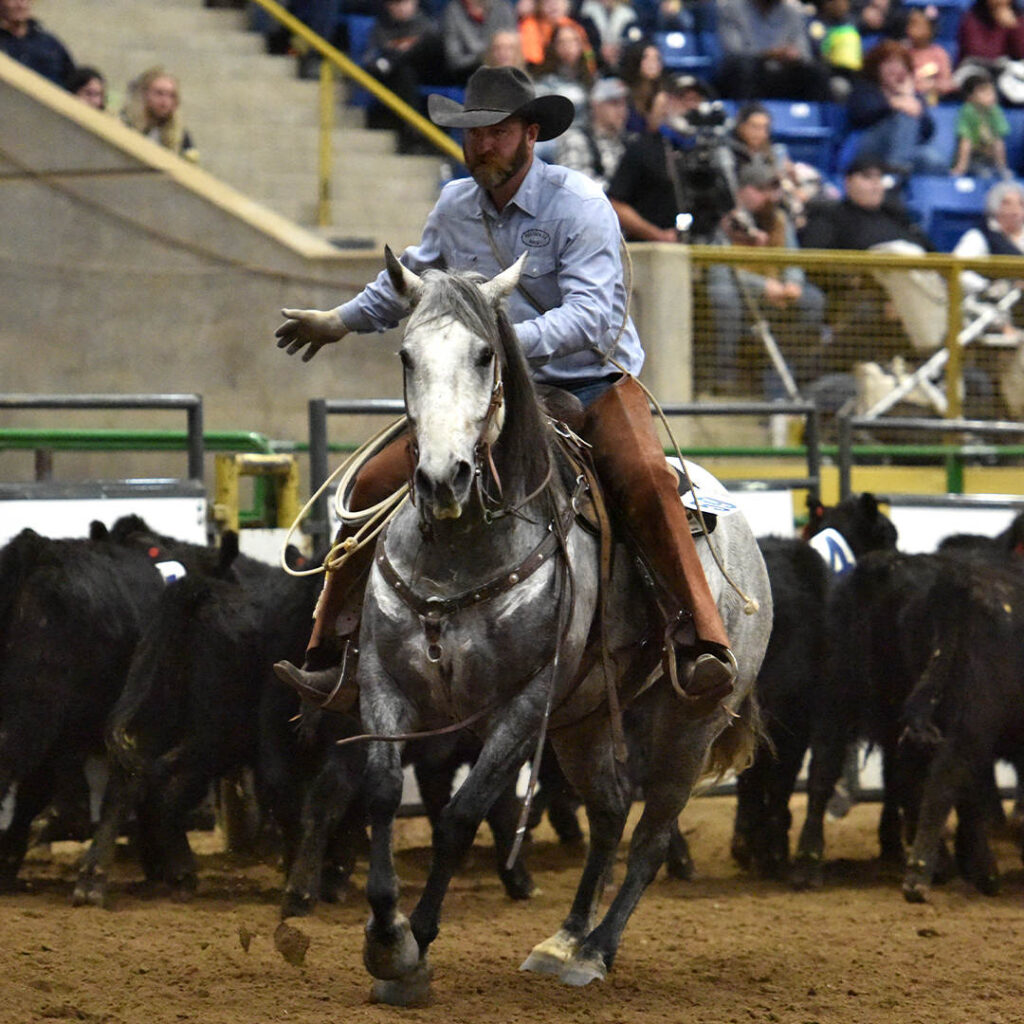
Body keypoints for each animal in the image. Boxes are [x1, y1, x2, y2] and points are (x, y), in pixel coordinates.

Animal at [352, 251, 770, 1003]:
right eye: (405, 355)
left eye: (486, 354)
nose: (443, 479)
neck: (459, 551)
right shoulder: (383, 679)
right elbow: (380, 794)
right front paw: (384, 936)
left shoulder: (524, 703)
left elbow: (461, 815)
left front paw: (412, 948)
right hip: (586, 721)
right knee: (608, 812)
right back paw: (566, 940)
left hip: (690, 725)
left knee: (650, 837)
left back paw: (599, 948)